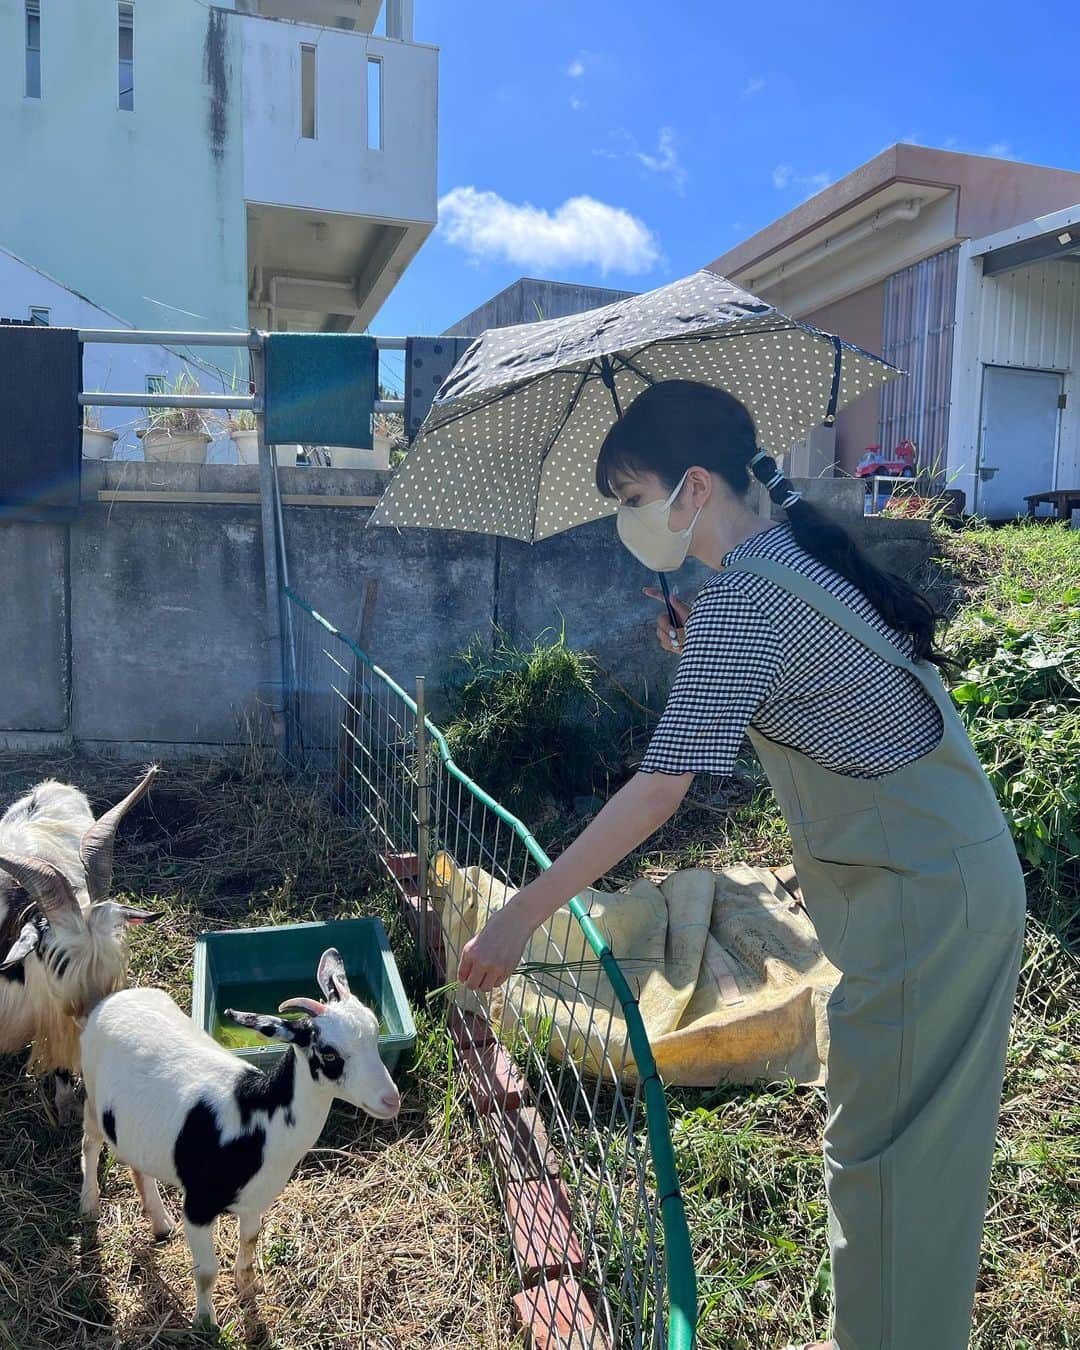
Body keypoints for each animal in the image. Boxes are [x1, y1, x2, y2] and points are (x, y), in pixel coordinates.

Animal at [78, 945, 399, 1323]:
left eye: (376, 1032)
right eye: (329, 1053)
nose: (390, 1100)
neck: (258, 1117)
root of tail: (114, 998)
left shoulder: (256, 1199)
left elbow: (250, 1241)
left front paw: (248, 1288)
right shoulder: (198, 1206)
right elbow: (206, 1271)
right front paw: (206, 1322)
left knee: (136, 1162)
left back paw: (159, 1222)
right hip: (92, 1093)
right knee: (90, 1141)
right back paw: (89, 1204)